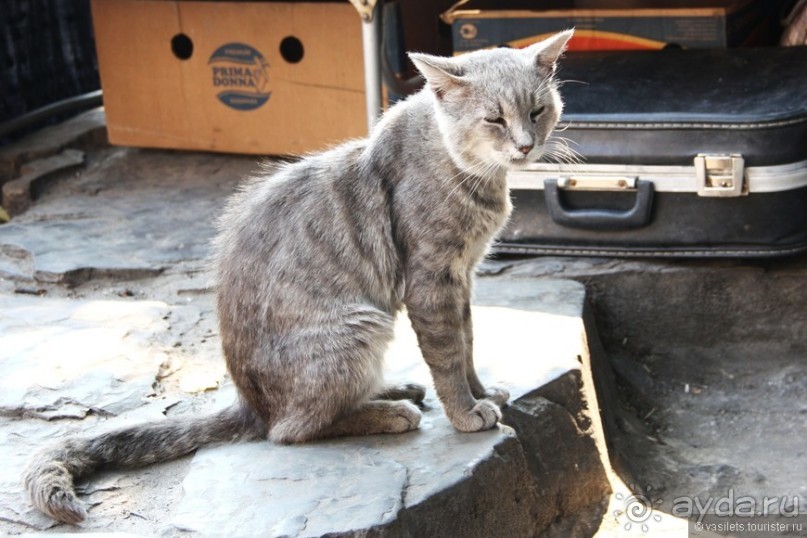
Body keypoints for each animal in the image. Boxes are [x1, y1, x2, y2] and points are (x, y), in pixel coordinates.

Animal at [22, 28, 572, 520]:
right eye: (494, 118)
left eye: (537, 110)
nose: (526, 145)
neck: (467, 170)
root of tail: (250, 405)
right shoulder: (432, 280)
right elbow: (448, 354)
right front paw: (465, 412)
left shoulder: (463, 277)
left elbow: (469, 342)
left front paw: (482, 392)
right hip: (360, 326)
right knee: (290, 430)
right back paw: (390, 411)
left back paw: (391, 391)